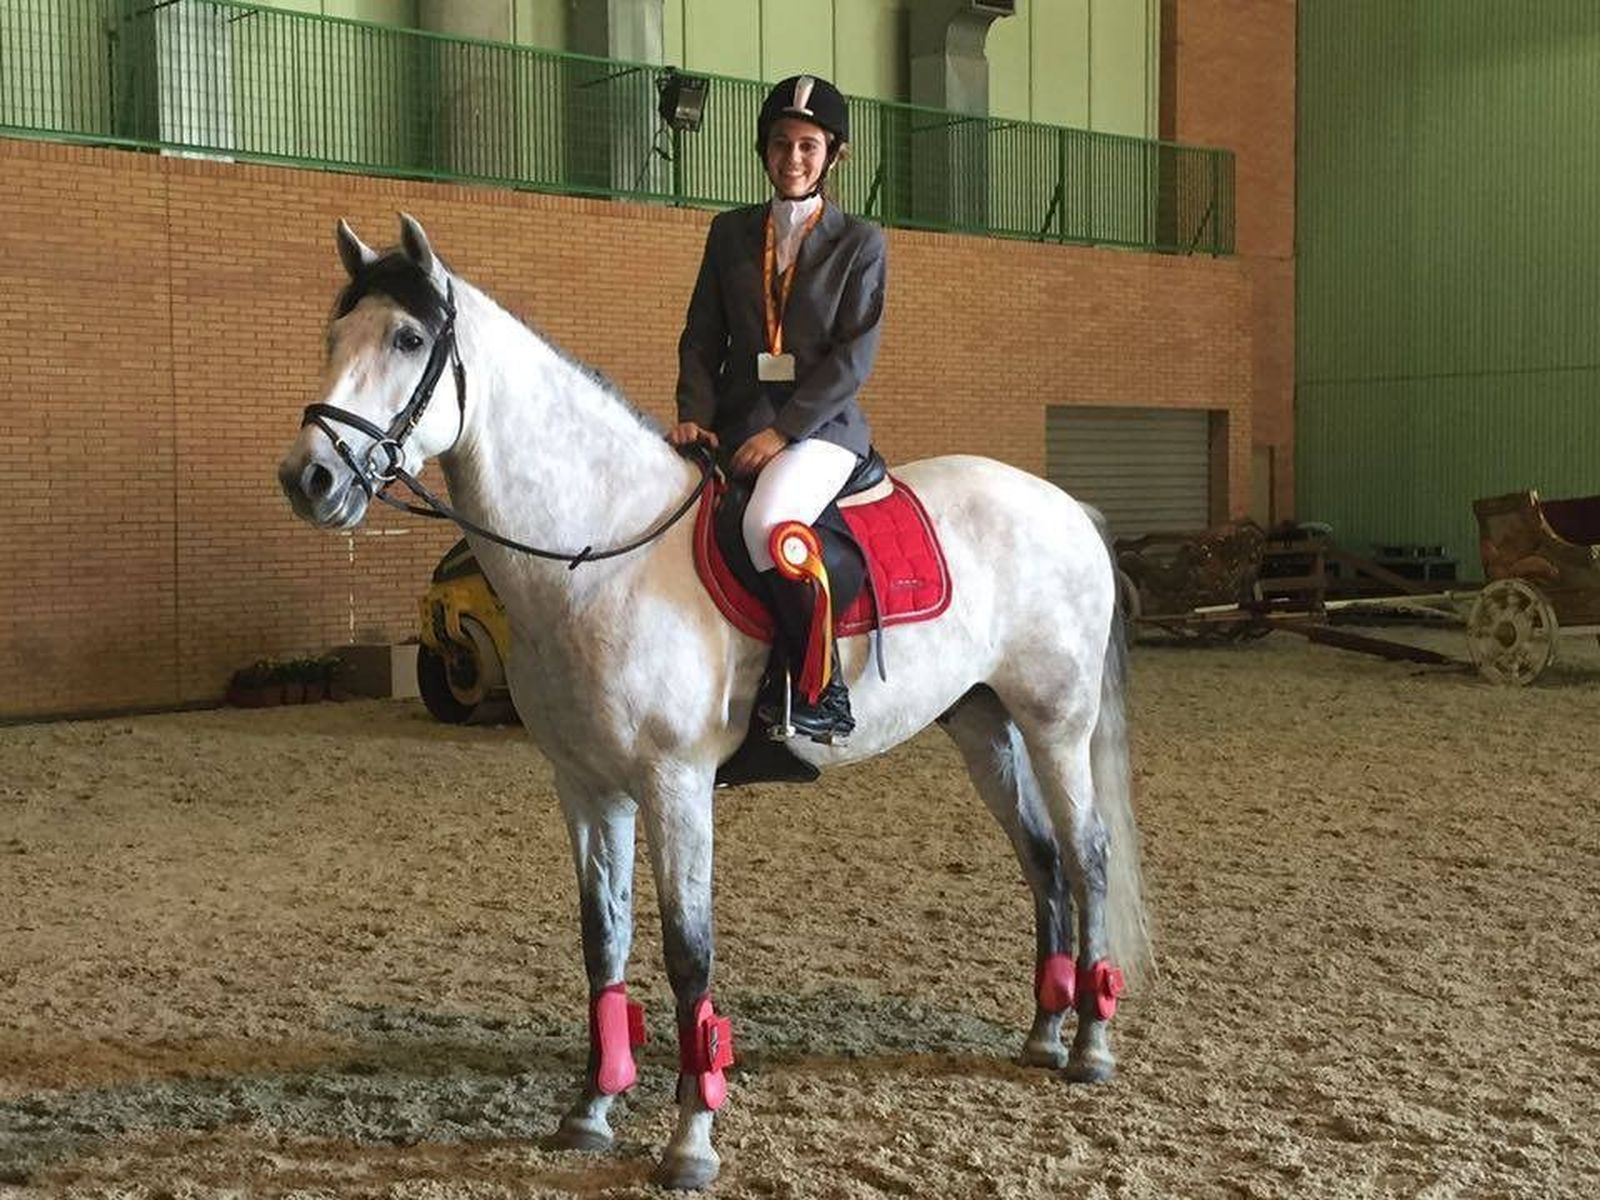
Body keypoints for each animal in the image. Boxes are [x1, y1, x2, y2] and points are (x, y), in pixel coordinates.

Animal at [276, 214, 1151, 1190]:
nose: (309, 479)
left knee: (1087, 857)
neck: (598, 553)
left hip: (1056, 724)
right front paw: (591, 1110)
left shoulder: (675, 783)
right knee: (1042, 859)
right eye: (332, 338)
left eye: (407, 339)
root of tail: (1066, 505)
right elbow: (604, 940)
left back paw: (1091, 1046)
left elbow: (687, 949)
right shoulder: (587, 787)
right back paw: (1044, 1033)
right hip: (982, 724)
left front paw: (691, 1140)